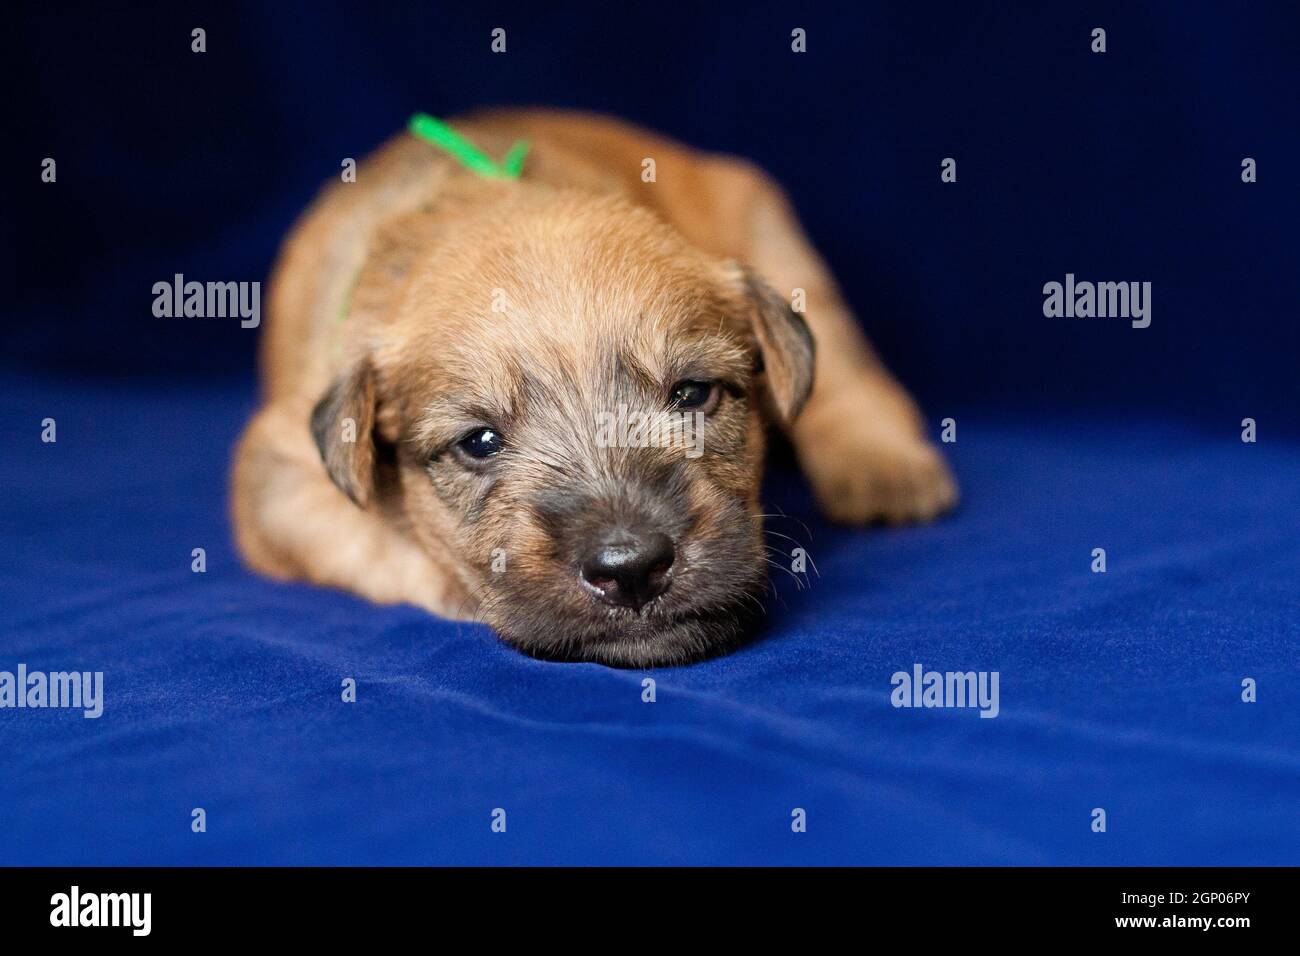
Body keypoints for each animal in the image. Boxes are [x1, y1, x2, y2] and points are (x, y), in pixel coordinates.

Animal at [231, 110, 956, 665]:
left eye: (692, 395)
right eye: (480, 442)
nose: (631, 568)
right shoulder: (277, 473)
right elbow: (377, 544)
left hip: (773, 231)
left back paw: (882, 465)